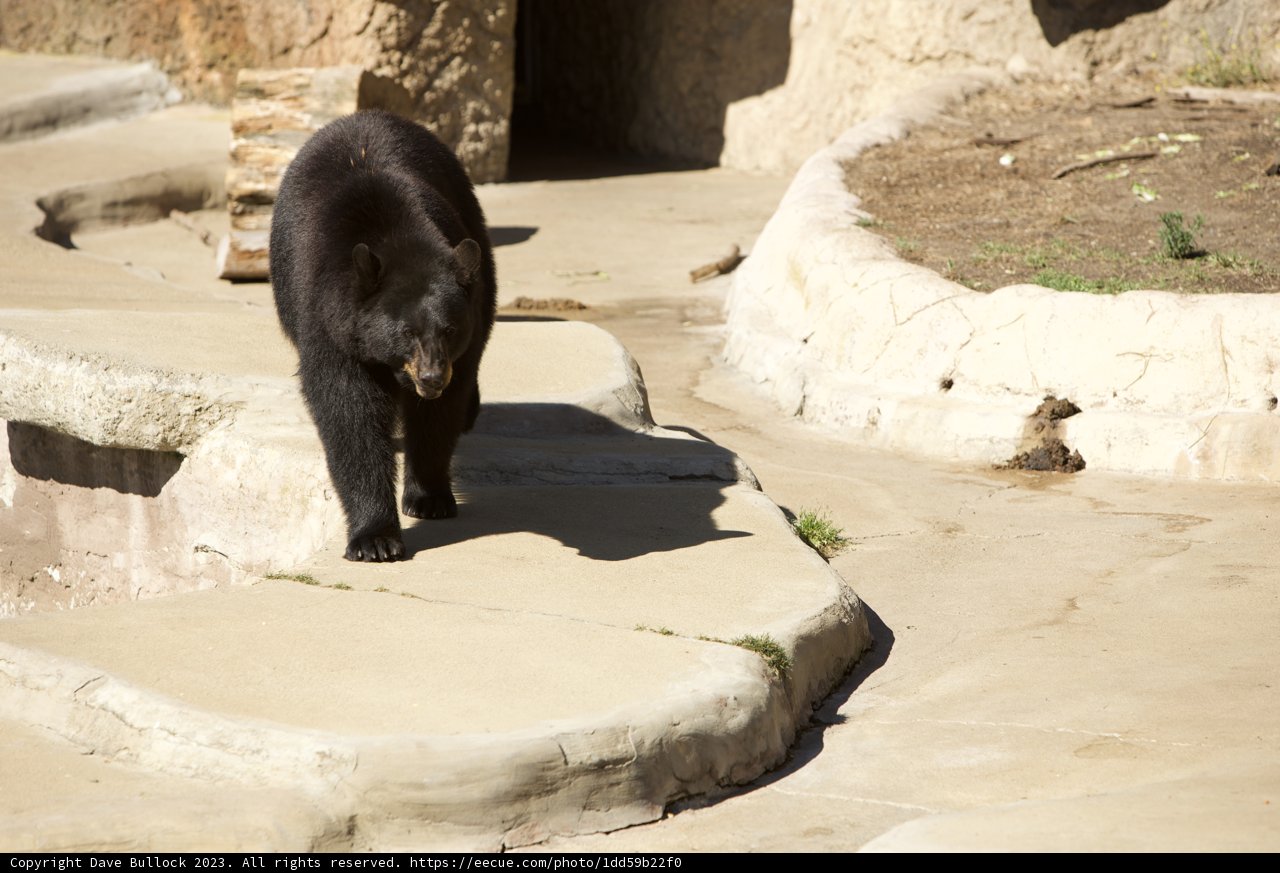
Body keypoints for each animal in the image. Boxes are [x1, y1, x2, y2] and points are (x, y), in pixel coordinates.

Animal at [269, 110, 496, 562]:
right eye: (406, 331)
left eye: (449, 329)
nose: (431, 378)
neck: (395, 233)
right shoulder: (329, 320)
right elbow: (348, 411)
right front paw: (375, 538)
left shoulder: (465, 330)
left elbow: (438, 414)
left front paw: (428, 497)